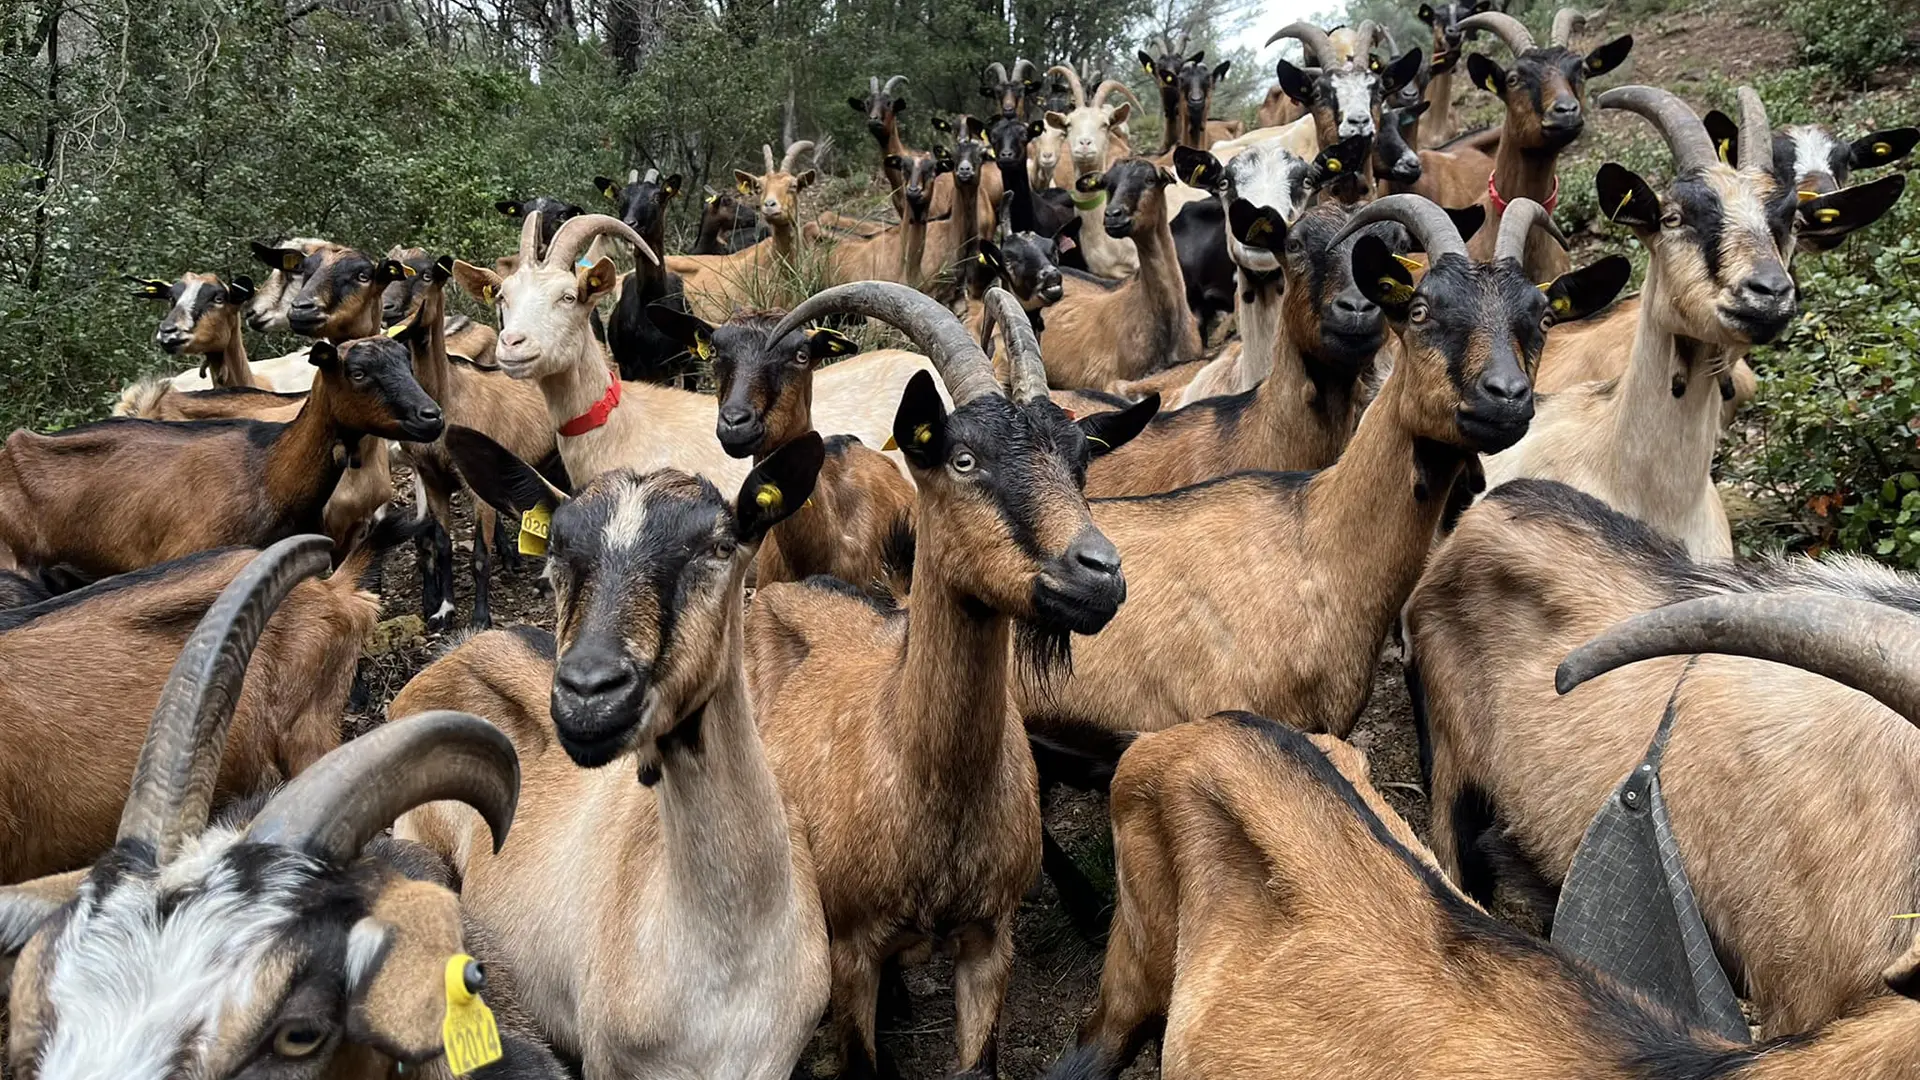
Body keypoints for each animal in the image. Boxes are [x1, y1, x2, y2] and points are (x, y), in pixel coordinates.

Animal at [744, 283, 1155, 1077]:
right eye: (963, 459)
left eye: (1081, 466)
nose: (1099, 574)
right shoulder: (853, 949)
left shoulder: (989, 945)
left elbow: (979, 1062)